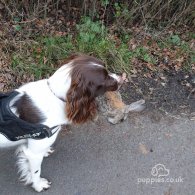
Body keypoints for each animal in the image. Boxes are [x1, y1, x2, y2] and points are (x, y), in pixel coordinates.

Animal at [0, 54, 122, 191]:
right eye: (105, 78)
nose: (122, 78)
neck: (54, 95)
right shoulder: (34, 153)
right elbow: (35, 172)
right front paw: (38, 185)